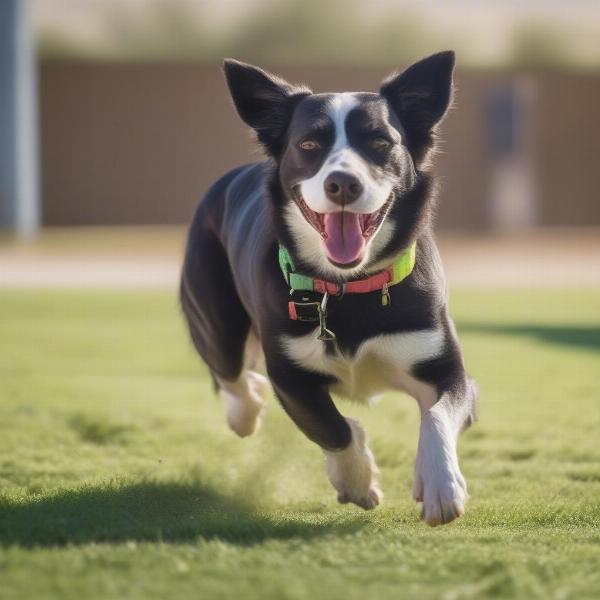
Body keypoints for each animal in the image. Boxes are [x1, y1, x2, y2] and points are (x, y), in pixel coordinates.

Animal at [182, 54, 478, 528]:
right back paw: (246, 410)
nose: (342, 183)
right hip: (213, 317)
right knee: (229, 372)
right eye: (308, 144)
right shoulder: (289, 376)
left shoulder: (446, 367)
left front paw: (441, 485)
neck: (348, 288)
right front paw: (358, 482)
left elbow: (437, 414)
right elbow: (332, 428)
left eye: (379, 142)